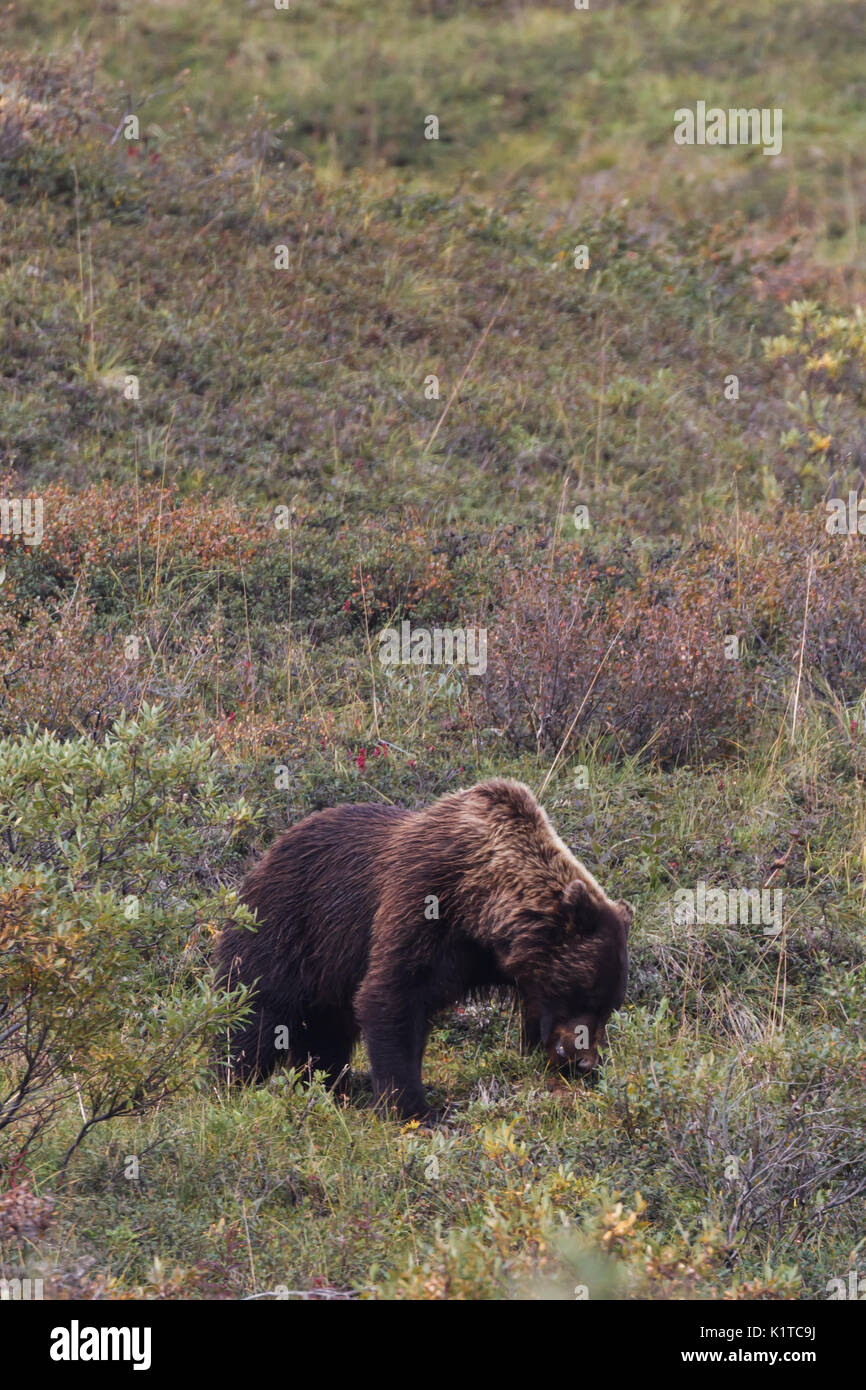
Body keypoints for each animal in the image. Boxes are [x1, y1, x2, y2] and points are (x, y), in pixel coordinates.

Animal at [215, 778, 636, 1123]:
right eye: (585, 994)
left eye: (610, 1005)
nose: (585, 1064)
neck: (481, 910)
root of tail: (268, 851)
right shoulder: (424, 903)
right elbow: (391, 995)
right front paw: (414, 1108)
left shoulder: (504, 962)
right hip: (288, 924)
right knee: (257, 1010)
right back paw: (235, 1081)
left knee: (326, 1029)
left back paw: (329, 1086)